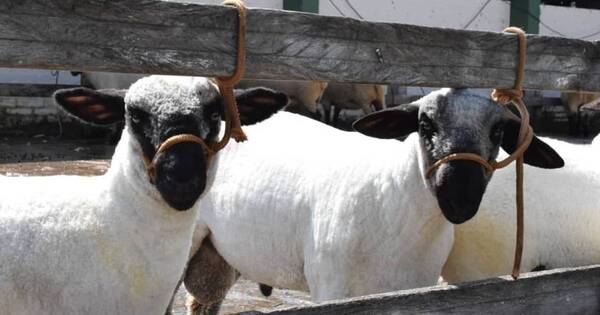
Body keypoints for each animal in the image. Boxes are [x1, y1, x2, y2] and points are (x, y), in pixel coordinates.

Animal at [180, 87, 564, 314]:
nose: (460, 196)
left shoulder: (417, 291)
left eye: (498, 131)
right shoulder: (331, 289)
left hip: (220, 252)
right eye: (425, 125)